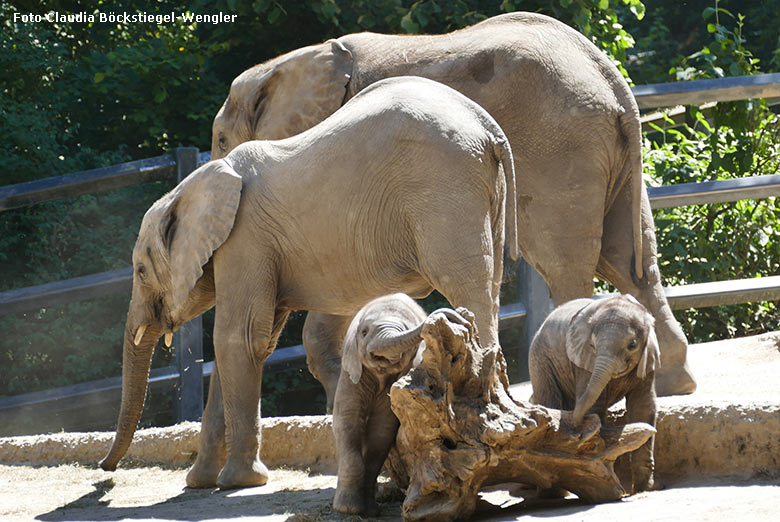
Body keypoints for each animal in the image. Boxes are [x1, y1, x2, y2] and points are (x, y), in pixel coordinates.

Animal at [210, 10, 696, 398]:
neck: (290, 62)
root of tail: (611, 79)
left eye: (220, 139)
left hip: (559, 150)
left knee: (567, 263)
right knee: (631, 260)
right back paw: (674, 381)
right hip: (610, 155)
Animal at [332, 292, 472, 512]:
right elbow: (347, 420)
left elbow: (382, 429)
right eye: (363, 332)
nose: (461, 316)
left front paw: (367, 510)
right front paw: (348, 509)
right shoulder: (351, 372)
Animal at [528, 294, 660, 490]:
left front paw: (646, 488)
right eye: (592, 345)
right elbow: (596, 406)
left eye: (632, 345)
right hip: (540, 361)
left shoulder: (648, 360)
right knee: (550, 400)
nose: (576, 425)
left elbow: (643, 407)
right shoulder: (584, 363)